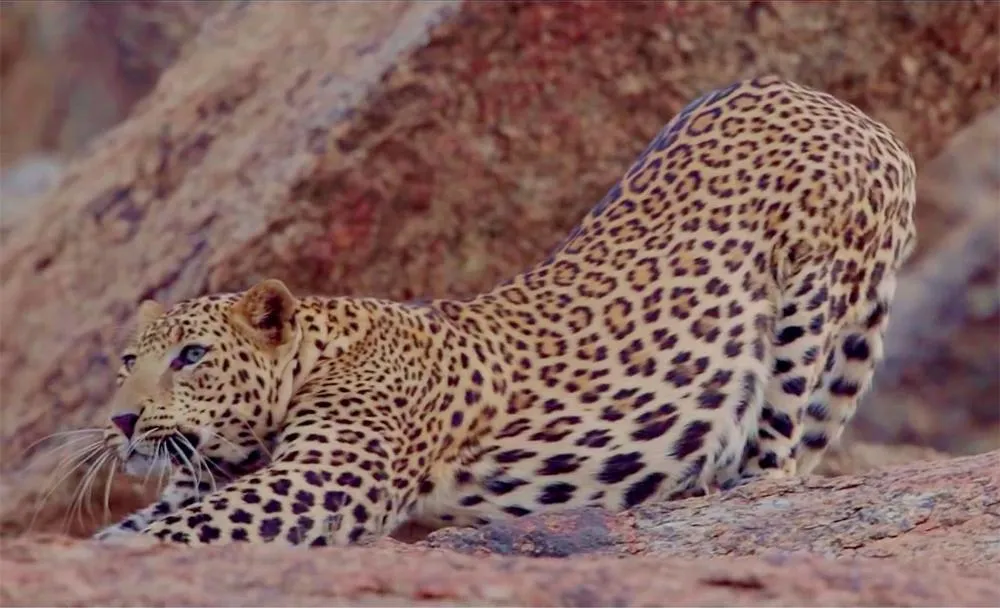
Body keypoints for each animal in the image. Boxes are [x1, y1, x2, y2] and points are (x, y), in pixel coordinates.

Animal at [90, 75, 916, 546]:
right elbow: (144, 523)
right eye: (128, 361)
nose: (123, 420)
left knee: (778, 446)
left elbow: (164, 535)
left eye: (191, 357)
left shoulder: (320, 485)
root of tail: (849, 111)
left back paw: (736, 481)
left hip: (811, 295)